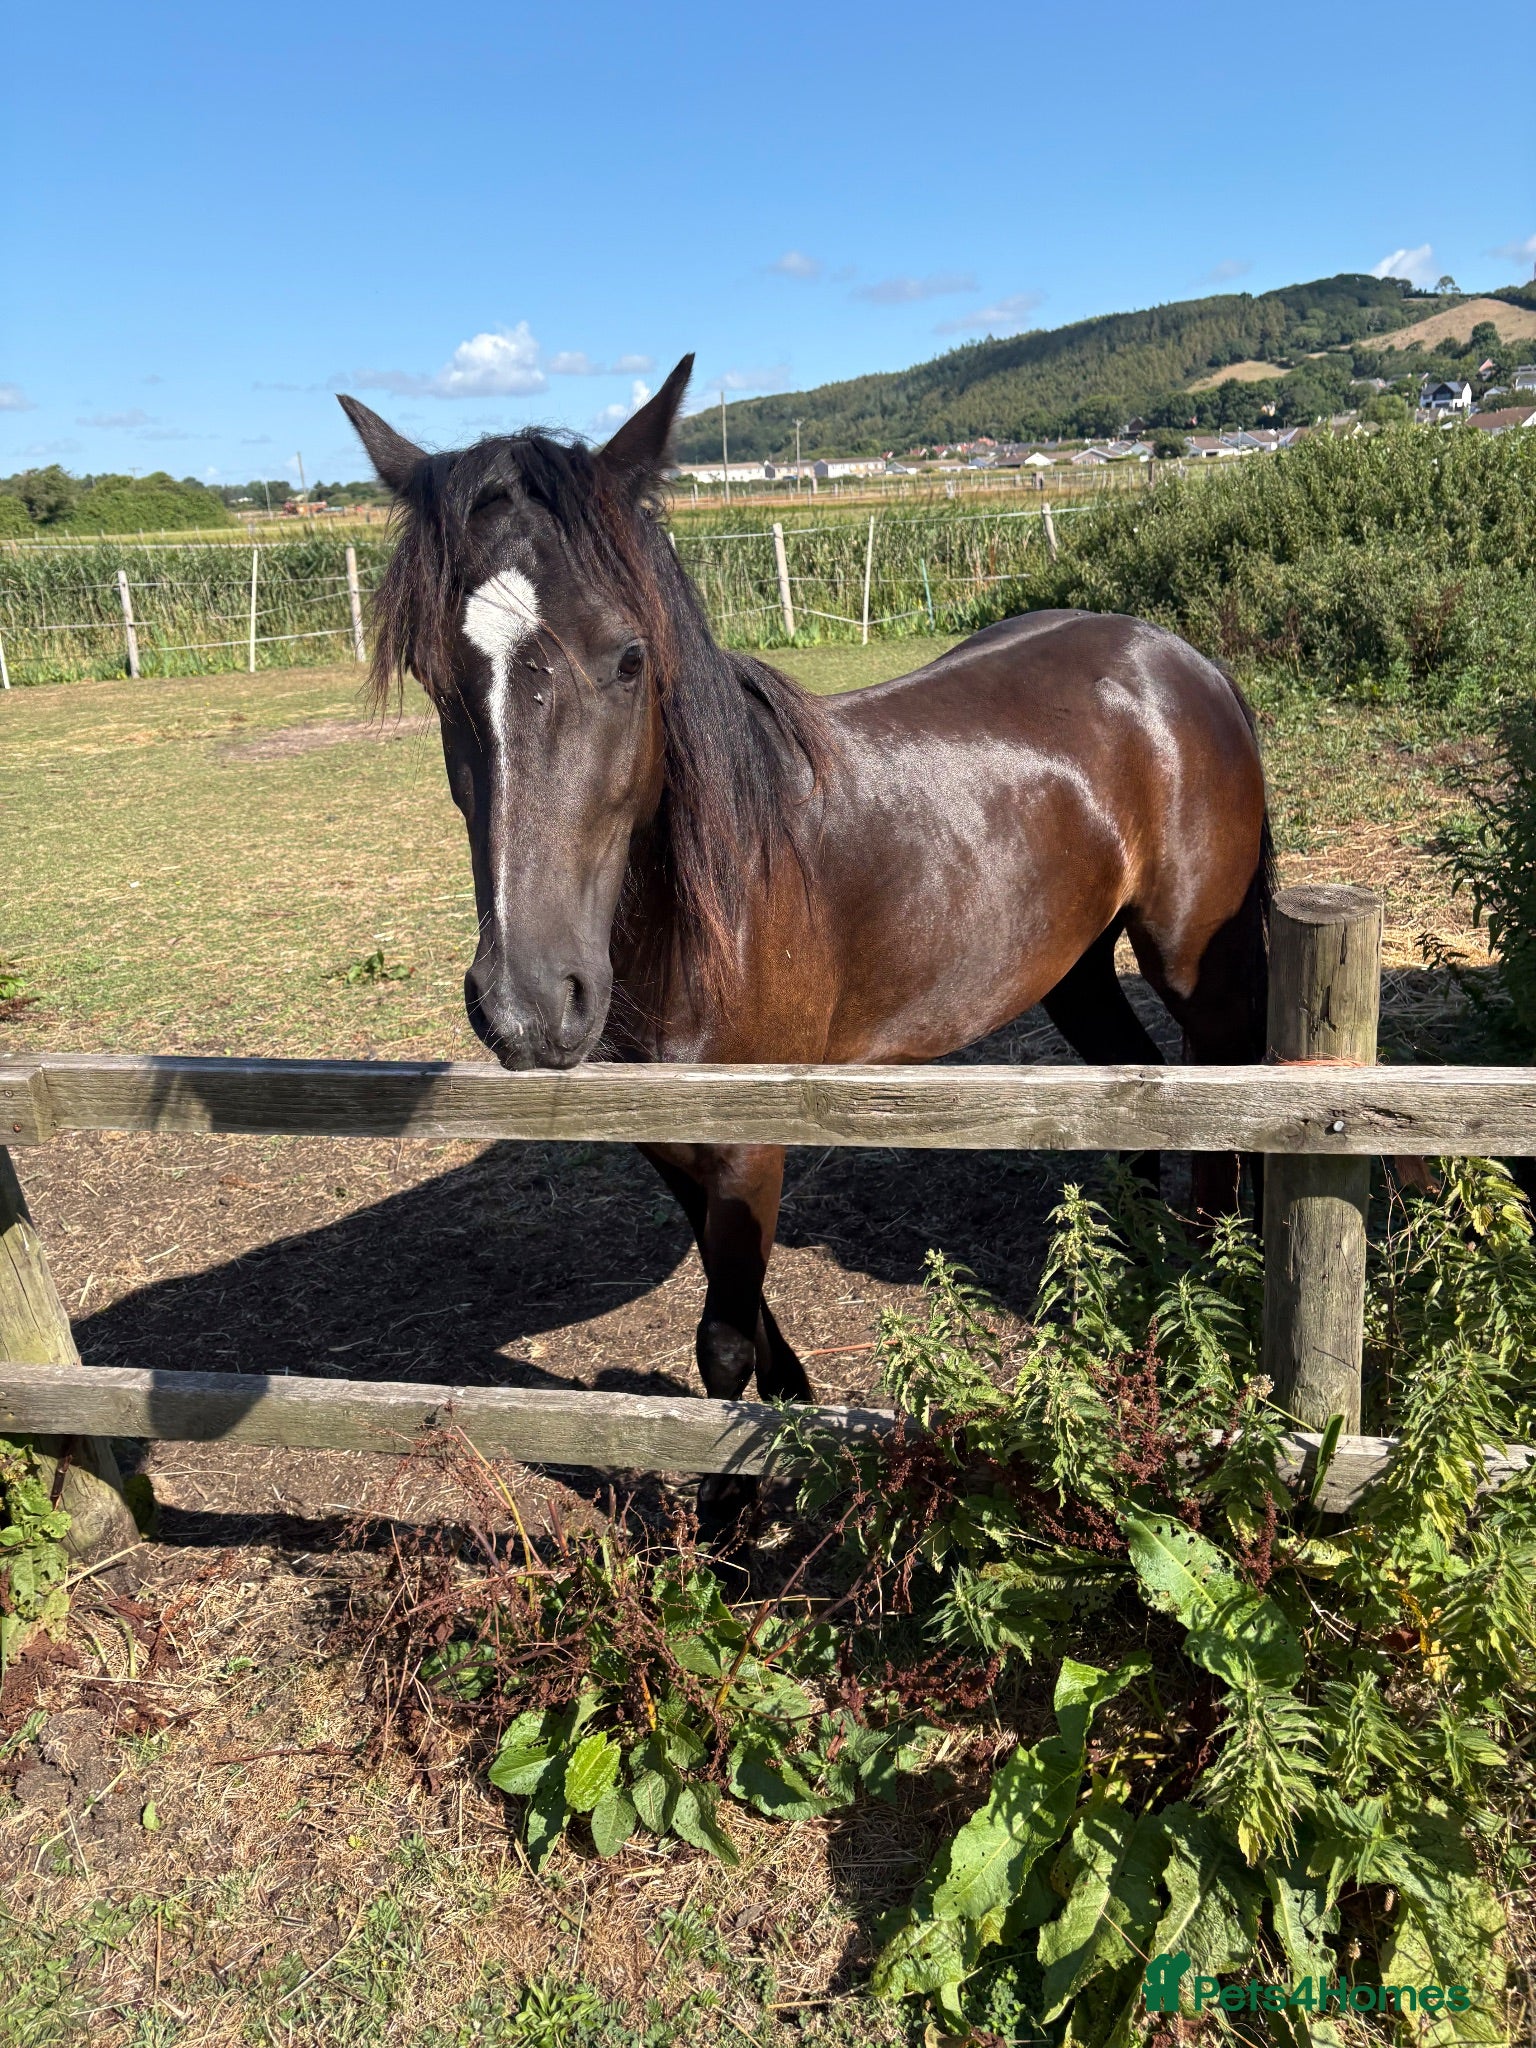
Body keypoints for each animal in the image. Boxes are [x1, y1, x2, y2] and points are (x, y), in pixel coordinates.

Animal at [339, 356, 1271, 1472]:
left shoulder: (751, 1141)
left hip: (1194, 960)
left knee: (1219, 1114)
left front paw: (740, 1500)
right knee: (1132, 1103)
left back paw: (1204, 1301)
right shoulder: (670, 1141)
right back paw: (1116, 1293)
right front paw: (795, 1424)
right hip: (1073, 964)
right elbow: (745, 1321)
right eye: (437, 676)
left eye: (628, 659)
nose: (527, 1005)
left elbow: (724, 1341)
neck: (698, 917)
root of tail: (1177, 657)